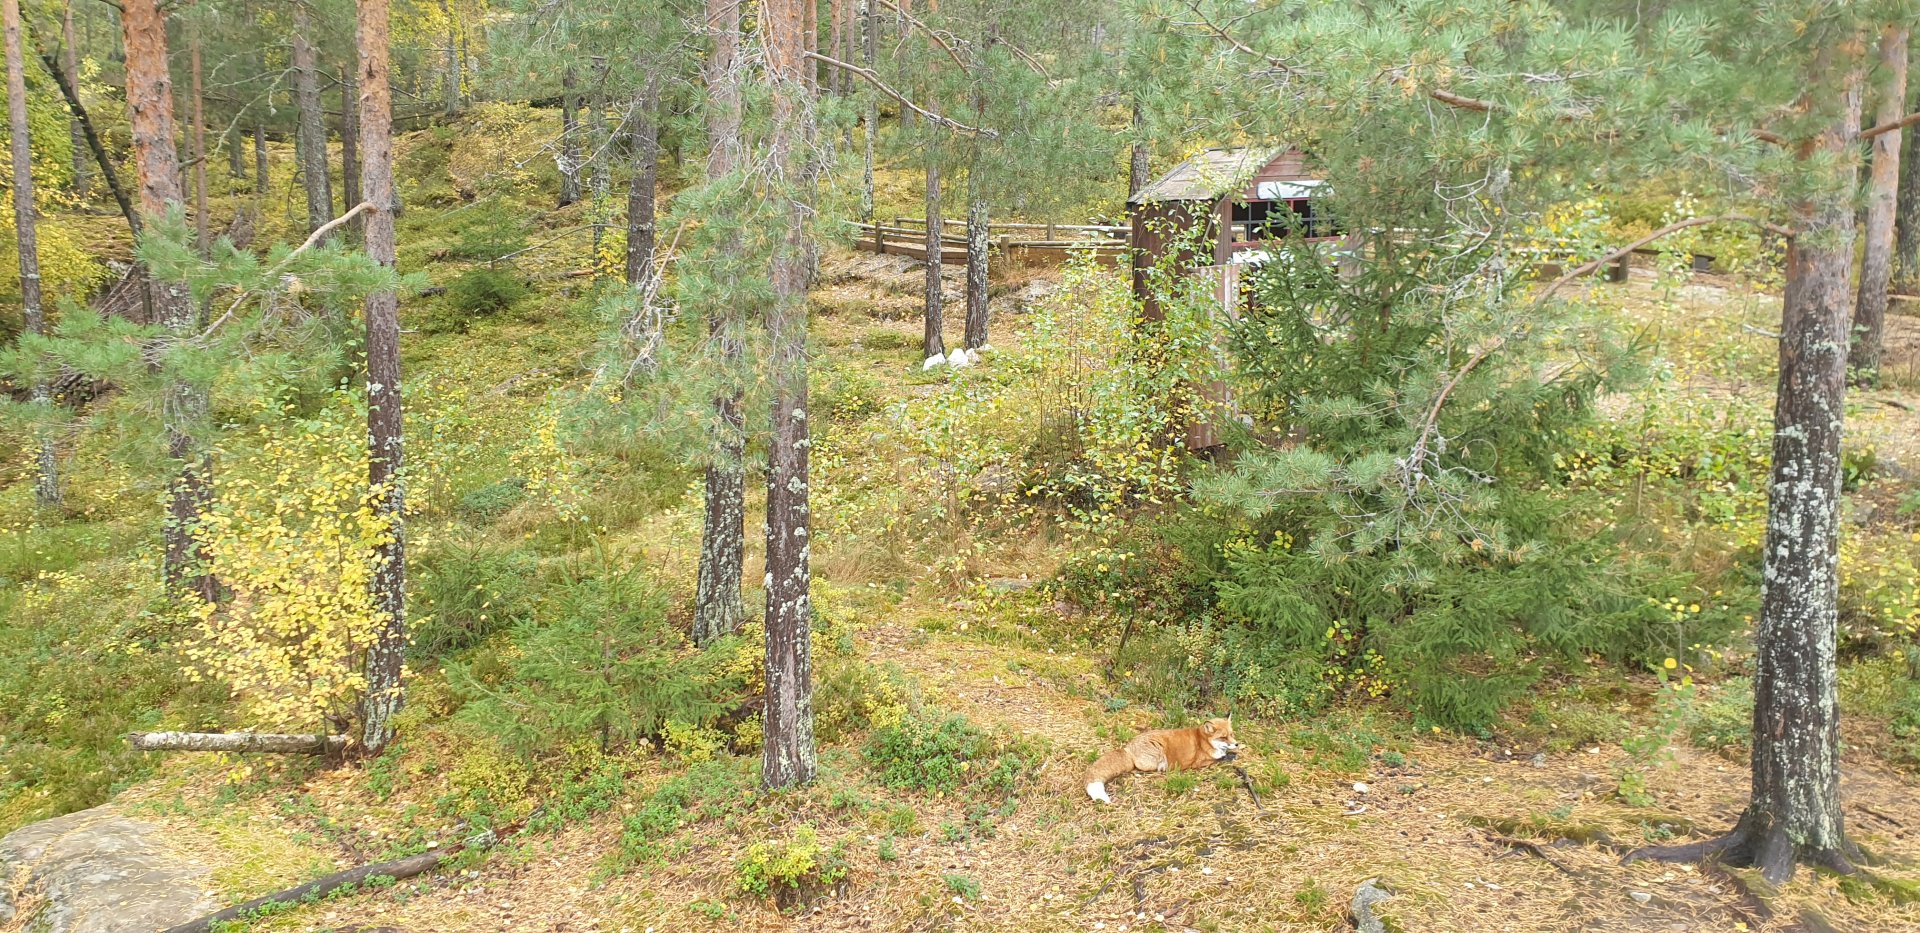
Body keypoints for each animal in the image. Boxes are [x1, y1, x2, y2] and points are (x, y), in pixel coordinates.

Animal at [1084, 716, 1242, 804]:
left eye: (1232, 734)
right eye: (1223, 737)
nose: (1236, 743)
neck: (1204, 741)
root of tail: (1127, 748)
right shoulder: (1199, 762)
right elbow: (1220, 758)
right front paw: (1231, 755)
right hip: (1158, 752)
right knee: (1140, 767)